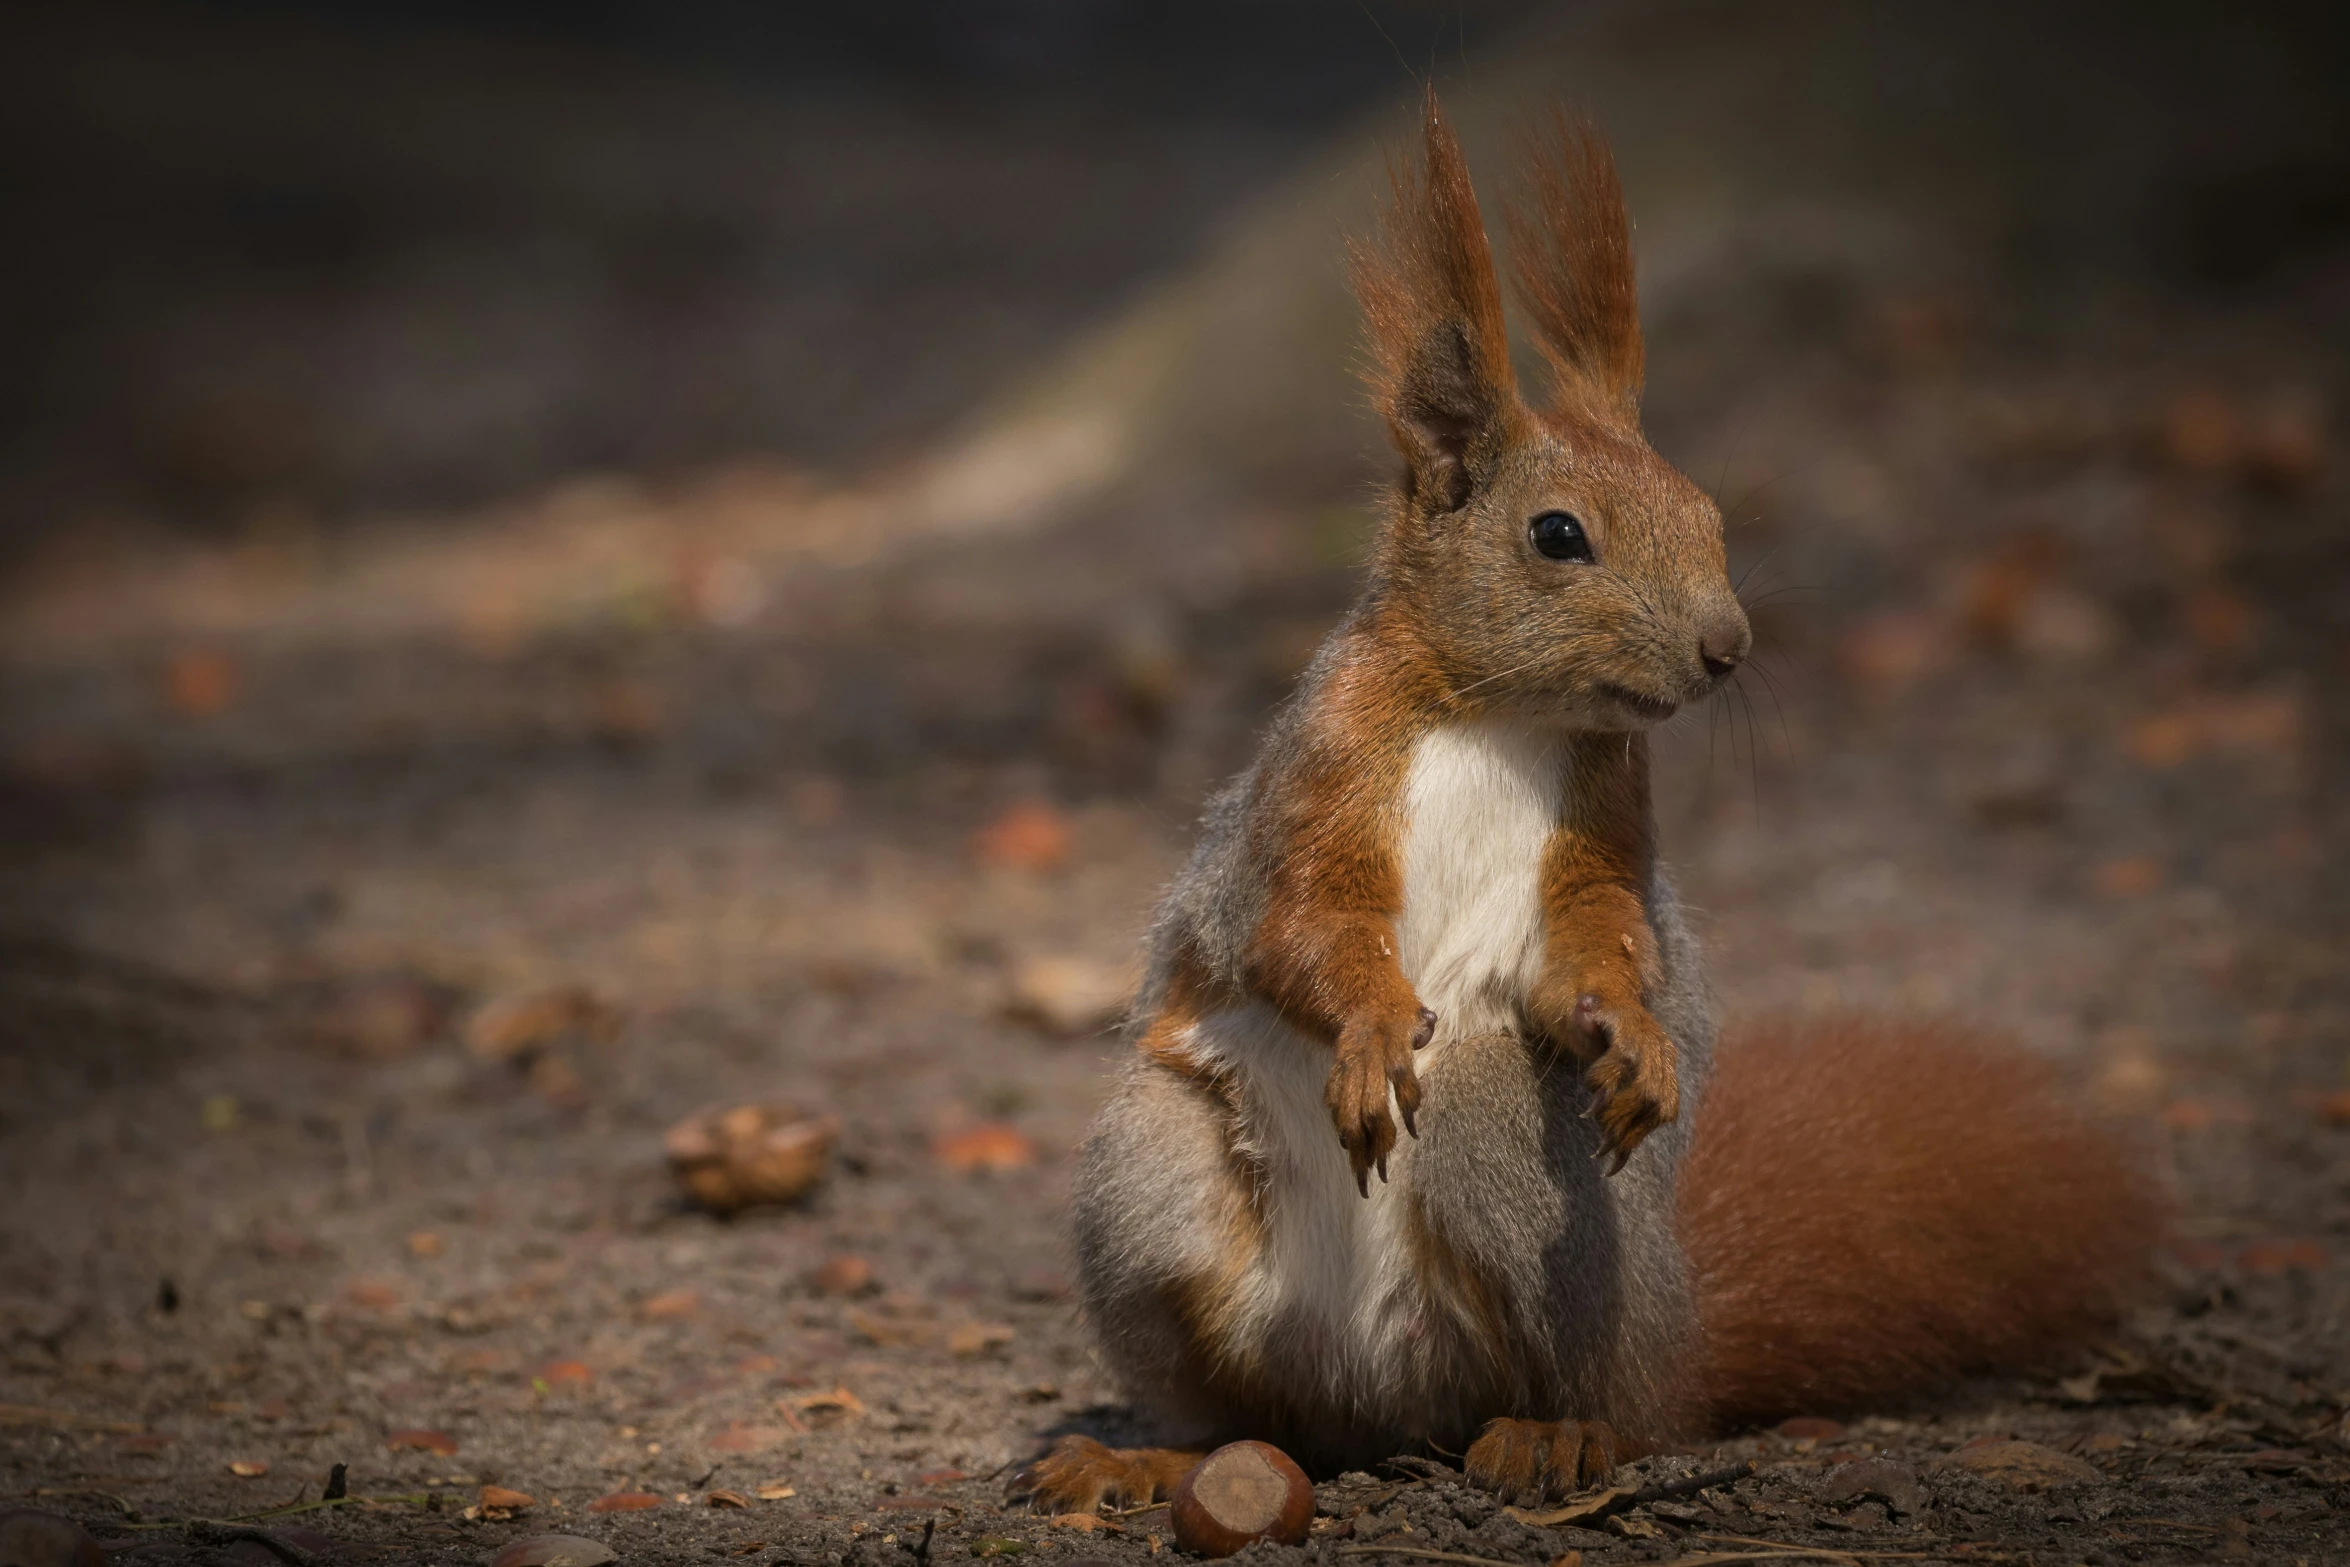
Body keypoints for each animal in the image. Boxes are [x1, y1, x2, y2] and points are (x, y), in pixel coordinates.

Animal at [1019, 92, 2152, 1512]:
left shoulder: (1607, 826)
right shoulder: (1311, 791)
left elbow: (1597, 937)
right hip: (1151, 1179)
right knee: (1246, 1407)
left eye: (1710, 513)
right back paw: (1144, 1456)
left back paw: (1556, 1436)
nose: (1726, 648)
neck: (1498, 716)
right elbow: (1298, 927)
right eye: (1556, 535)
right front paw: (1373, 1025)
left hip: (1533, 1180)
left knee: (1612, 1395)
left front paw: (1638, 1031)